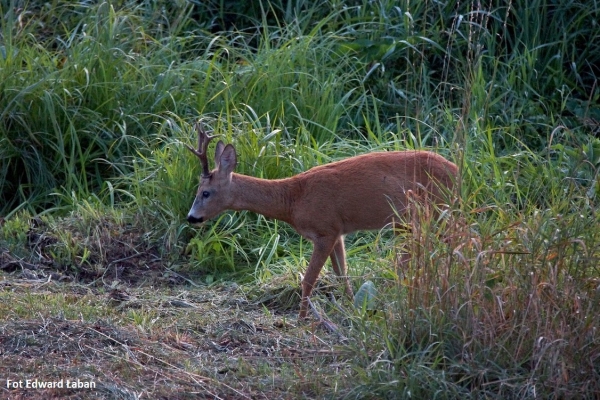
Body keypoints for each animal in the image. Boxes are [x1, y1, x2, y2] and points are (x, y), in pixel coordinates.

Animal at [185, 122, 458, 318]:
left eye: (205, 192)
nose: (191, 218)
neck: (293, 199)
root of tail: (456, 169)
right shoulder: (338, 232)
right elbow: (341, 274)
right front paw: (351, 308)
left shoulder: (325, 229)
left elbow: (308, 279)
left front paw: (302, 319)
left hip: (436, 210)